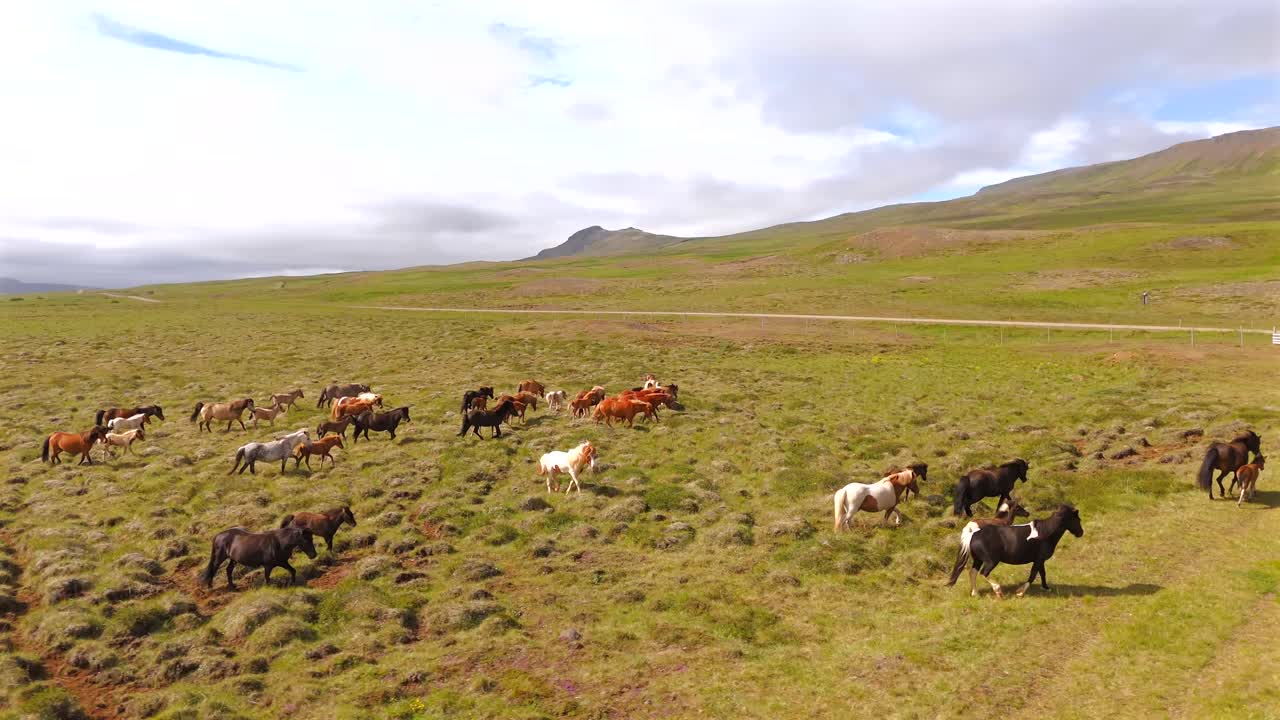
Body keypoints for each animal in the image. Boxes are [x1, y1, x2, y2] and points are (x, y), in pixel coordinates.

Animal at [946, 504, 1084, 598]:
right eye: (1077, 519)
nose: (1081, 533)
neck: (1045, 533)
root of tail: (973, 534)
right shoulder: (1038, 560)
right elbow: (1033, 575)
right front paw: (1020, 592)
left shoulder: (1040, 560)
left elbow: (1042, 573)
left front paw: (1046, 588)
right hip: (991, 561)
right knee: (983, 573)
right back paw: (998, 591)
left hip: (978, 560)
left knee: (973, 572)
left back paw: (975, 593)